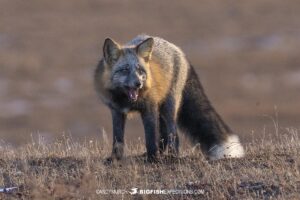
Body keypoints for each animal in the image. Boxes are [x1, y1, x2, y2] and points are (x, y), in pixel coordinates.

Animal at [95, 34, 245, 161]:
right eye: (125, 70)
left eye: (140, 70)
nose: (138, 83)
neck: (126, 100)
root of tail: (177, 49)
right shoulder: (117, 111)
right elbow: (118, 138)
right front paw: (115, 158)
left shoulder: (149, 109)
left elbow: (150, 137)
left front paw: (152, 159)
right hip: (161, 110)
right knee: (163, 135)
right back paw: (161, 154)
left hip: (169, 106)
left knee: (173, 133)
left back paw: (172, 156)